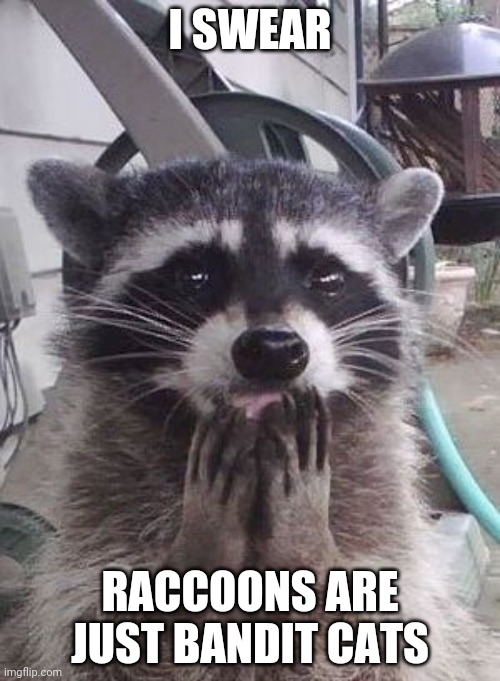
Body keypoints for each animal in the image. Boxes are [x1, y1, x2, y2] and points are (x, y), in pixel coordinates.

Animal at [1, 158, 497, 680]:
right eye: (194, 275)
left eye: (327, 278)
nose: (272, 350)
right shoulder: (98, 523)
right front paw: (200, 551)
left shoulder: (380, 515)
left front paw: (307, 546)